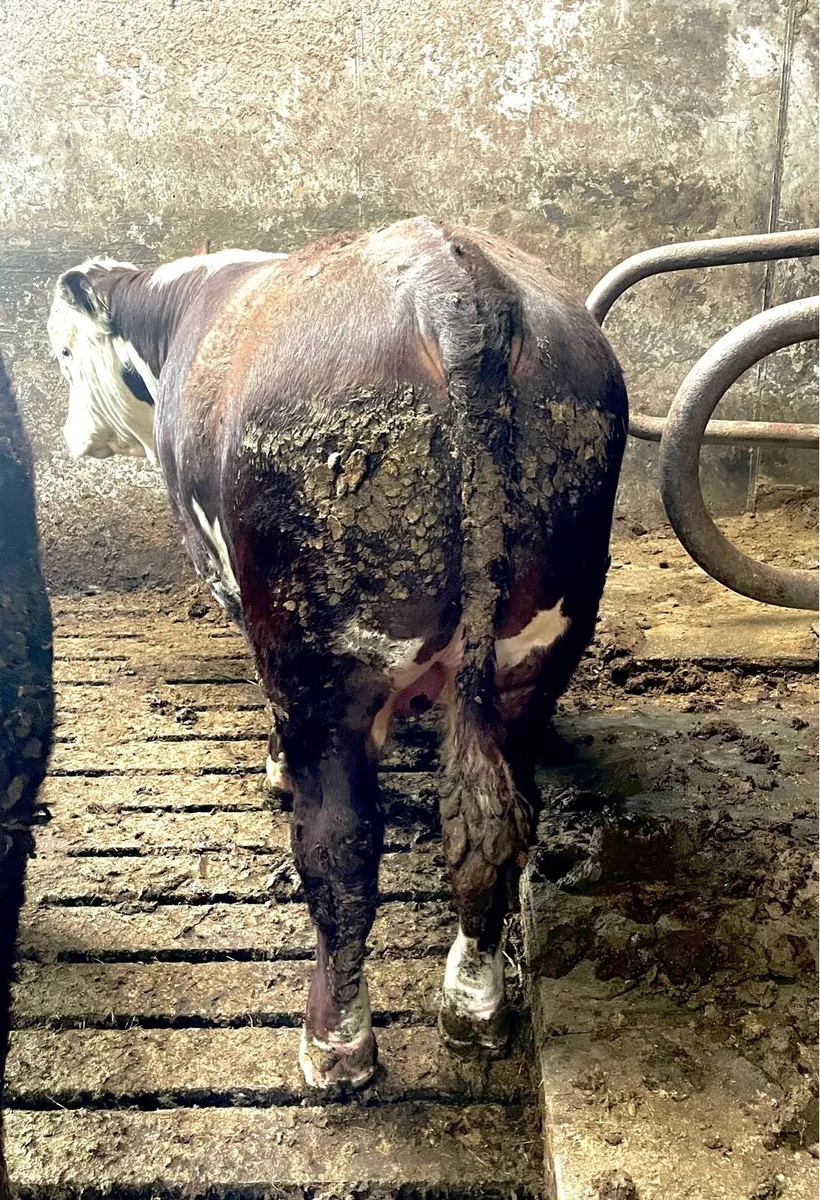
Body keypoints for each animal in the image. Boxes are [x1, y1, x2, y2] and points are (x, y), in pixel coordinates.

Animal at [48, 217, 627, 1088]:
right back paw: (474, 1005)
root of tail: (457, 289)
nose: (71, 438)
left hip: (320, 658)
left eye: (60, 353)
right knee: (499, 824)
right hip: (537, 650)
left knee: (340, 846)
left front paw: (276, 766)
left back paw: (336, 1043)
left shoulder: (229, 582)